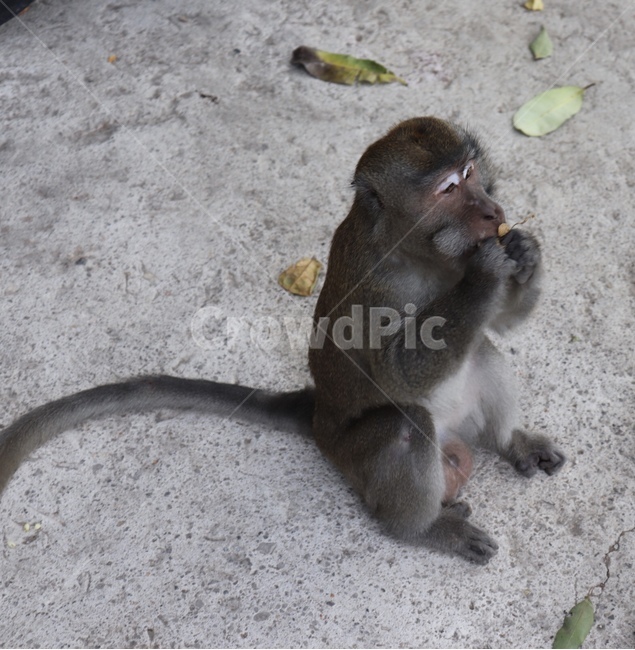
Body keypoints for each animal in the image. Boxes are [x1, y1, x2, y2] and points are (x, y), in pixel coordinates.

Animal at [0, 116, 565, 563]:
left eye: (470, 174)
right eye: (448, 189)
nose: (493, 211)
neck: (419, 251)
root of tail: (319, 418)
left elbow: (499, 326)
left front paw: (524, 248)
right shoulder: (378, 286)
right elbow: (397, 372)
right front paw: (487, 272)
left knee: (481, 351)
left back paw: (509, 443)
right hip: (351, 455)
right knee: (407, 424)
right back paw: (425, 530)